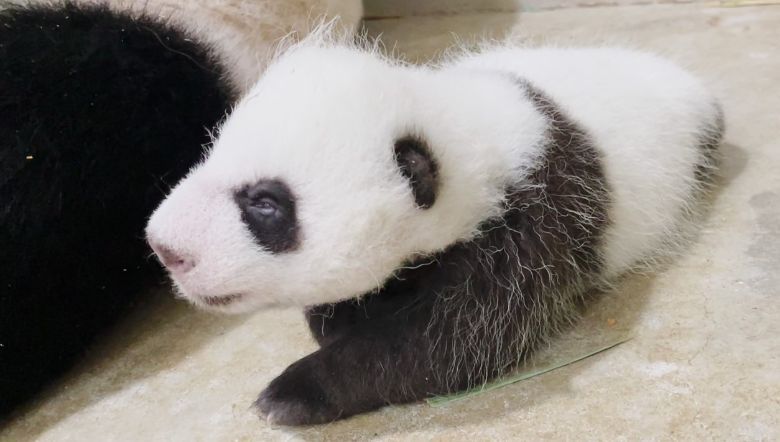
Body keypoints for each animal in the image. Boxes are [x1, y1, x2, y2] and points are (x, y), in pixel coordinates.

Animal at [145, 32, 724, 426]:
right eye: (212, 151)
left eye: (265, 204)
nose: (165, 248)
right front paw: (341, 316)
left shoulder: (531, 226)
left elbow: (454, 342)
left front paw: (293, 393)